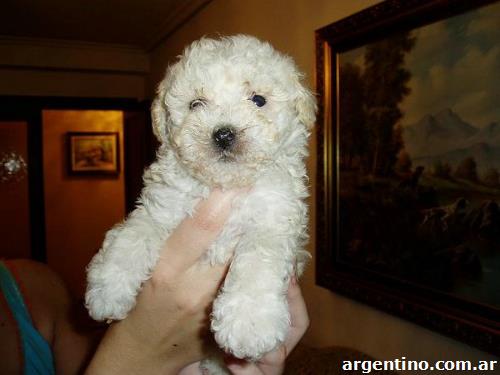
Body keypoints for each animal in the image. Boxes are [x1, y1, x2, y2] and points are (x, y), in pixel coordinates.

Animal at [84, 34, 314, 364]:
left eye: (258, 100)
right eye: (195, 104)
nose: (224, 134)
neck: (223, 185)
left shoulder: (274, 219)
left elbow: (258, 258)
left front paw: (249, 323)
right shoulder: (161, 206)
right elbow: (133, 235)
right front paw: (108, 290)